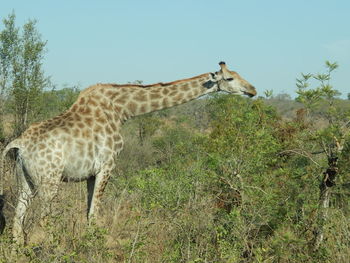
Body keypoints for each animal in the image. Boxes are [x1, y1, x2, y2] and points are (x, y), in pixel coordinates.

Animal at [0, 62, 258, 245]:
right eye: (229, 78)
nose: (252, 90)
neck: (122, 110)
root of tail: (19, 144)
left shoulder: (92, 173)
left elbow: (88, 212)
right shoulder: (107, 164)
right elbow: (94, 214)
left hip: (25, 179)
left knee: (17, 219)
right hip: (49, 180)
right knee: (43, 221)